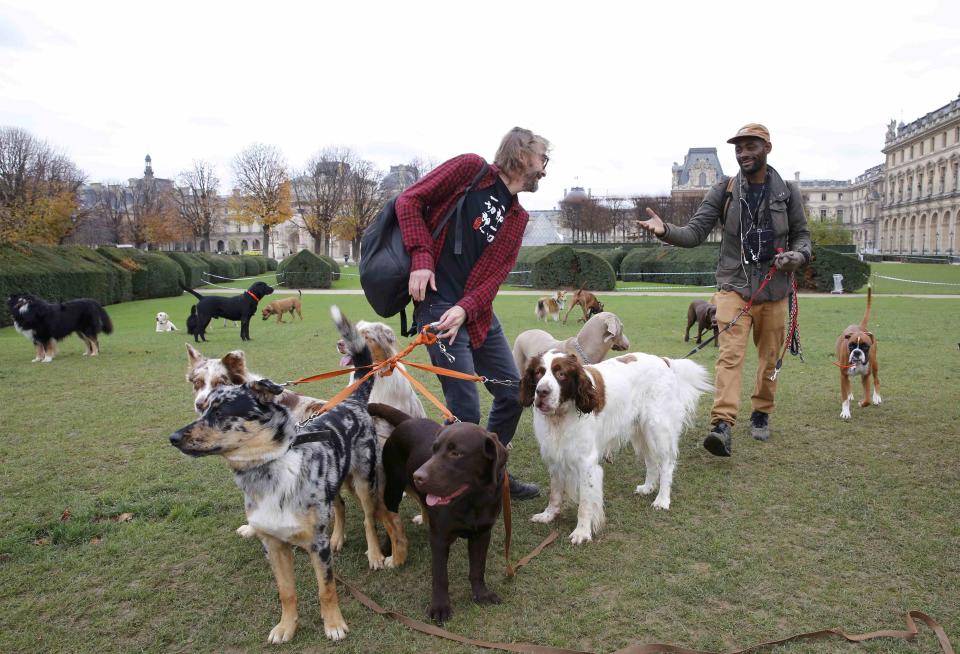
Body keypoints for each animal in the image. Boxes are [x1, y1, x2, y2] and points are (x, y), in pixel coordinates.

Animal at [171, 308, 400, 644]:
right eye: (203, 408)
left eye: (221, 413)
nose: (173, 438)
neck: (269, 472)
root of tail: (352, 401)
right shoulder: (274, 546)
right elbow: (286, 592)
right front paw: (286, 627)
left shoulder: (316, 546)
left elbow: (326, 589)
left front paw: (334, 624)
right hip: (335, 482)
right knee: (340, 507)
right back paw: (338, 537)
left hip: (363, 480)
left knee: (370, 519)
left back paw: (373, 554)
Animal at [370, 404, 510, 624]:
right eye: (433, 451)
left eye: (456, 453)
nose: (418, 477)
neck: (472, 500)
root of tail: (407, 420)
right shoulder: (439, 538)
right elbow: (440, 576)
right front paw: (440, 607)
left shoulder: (482, 533)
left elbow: (478, 568)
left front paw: (481, 594)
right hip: (393, 486)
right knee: (391, 519)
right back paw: (387, 547)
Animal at [836, 288, 880, 420]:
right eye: (851, 345)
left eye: (865, 346)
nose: (856, 352)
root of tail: (860, 327)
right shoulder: (843, 376)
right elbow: (844, 398)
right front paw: (845, 412)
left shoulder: (865, 376)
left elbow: (867, 399)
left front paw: (862, 403)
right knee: (848, 384)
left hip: (874, 364)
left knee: (877, 380)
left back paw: (877, 397)